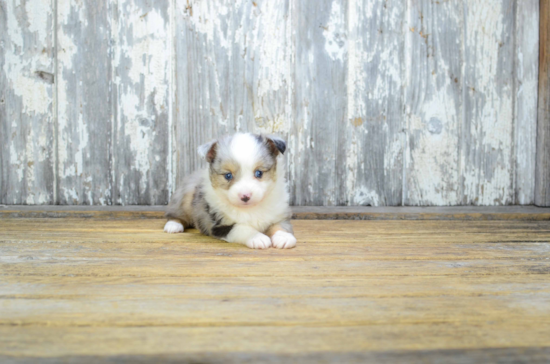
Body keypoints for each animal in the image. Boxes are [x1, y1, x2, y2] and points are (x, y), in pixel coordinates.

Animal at [165, 132, 298, 249]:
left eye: (259, 173)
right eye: (228, 175)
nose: (245, 196)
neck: (249, 209)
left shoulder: (279, 215)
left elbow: (280, 226)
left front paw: (284, 237)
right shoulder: (220, 225)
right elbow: (242, 228)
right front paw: (258, 238)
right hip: (184, 199)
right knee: (176, 214)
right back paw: (173, 225)